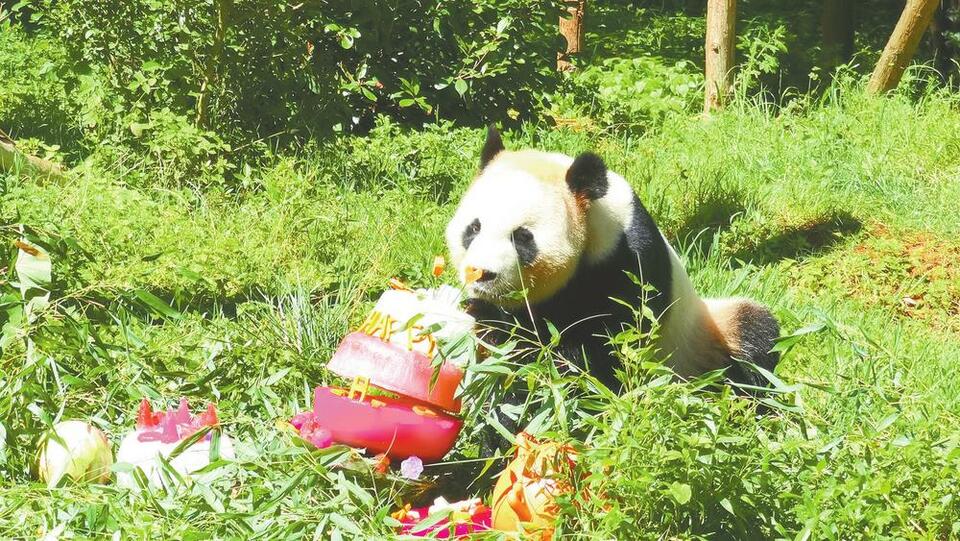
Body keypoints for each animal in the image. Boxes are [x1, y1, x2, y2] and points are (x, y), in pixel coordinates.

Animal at [444, 127, 780, 392]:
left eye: (523, 237)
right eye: (474, 228)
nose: (481, 273)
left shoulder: (627, 263)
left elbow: (603, 354)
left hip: (703, 336)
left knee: (755, 339)